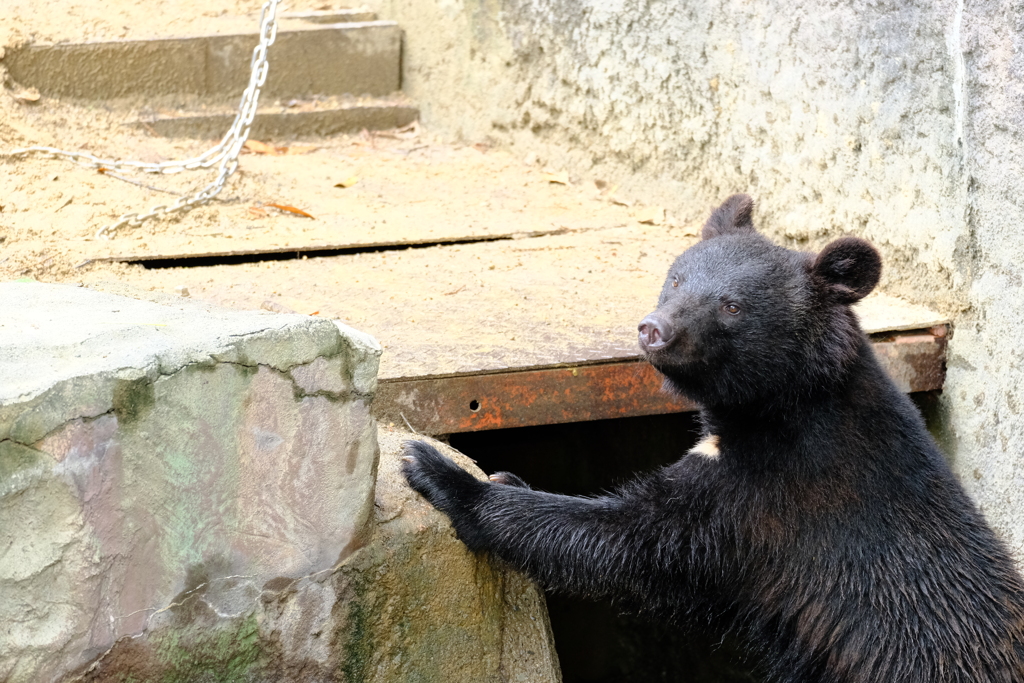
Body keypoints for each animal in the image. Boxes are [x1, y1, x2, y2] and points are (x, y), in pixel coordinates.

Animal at [403, 194, 1024, 679]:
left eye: (730, 305)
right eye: (676, 278)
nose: (654, 329)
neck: (775, 408)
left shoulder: (769, 498)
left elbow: (630, 539)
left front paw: (440, 472)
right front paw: (504, 473)